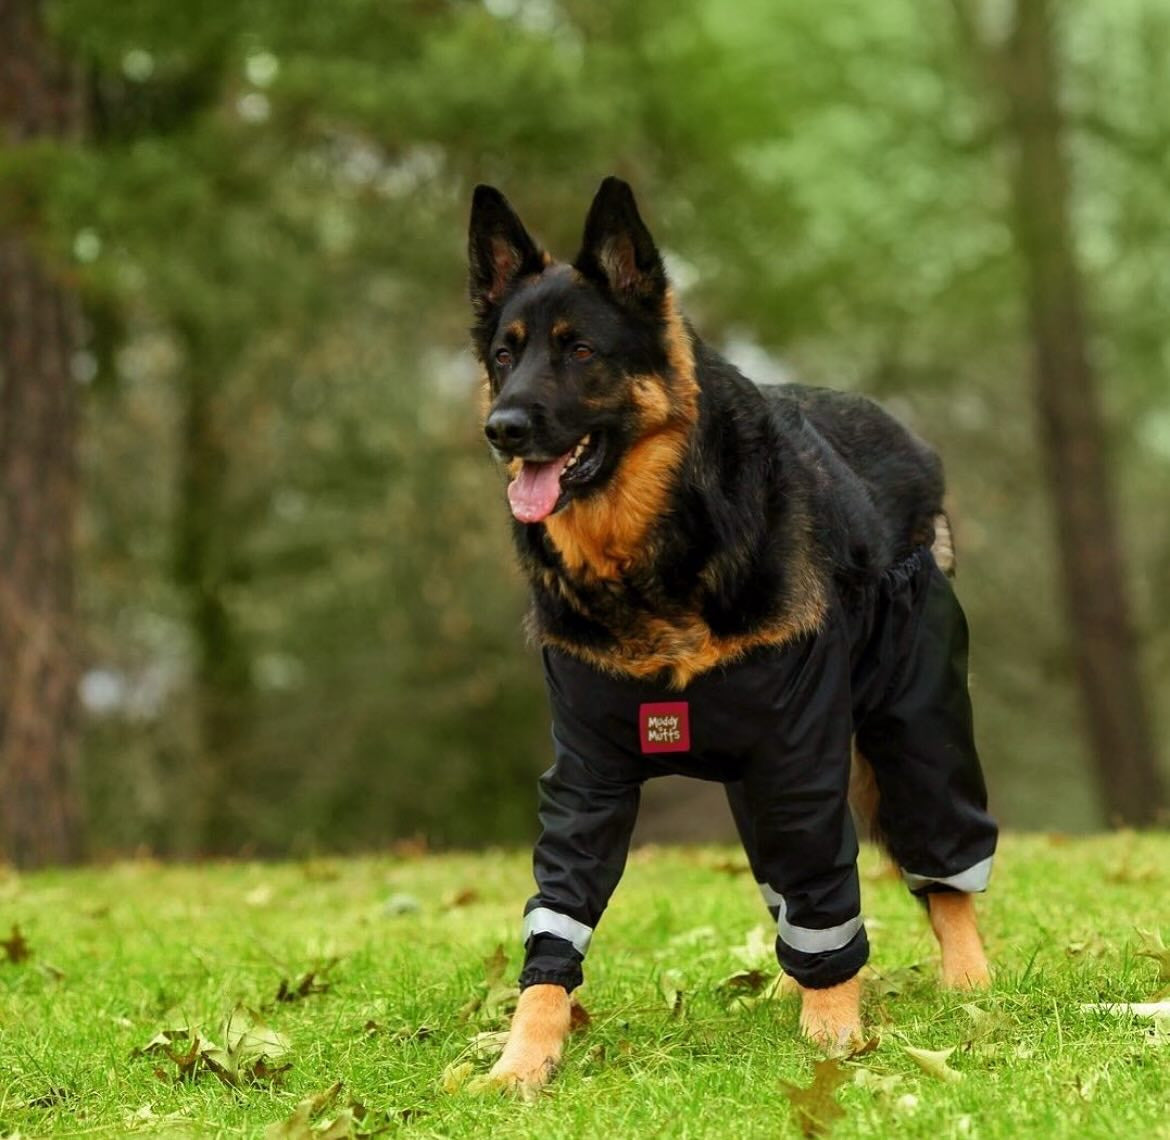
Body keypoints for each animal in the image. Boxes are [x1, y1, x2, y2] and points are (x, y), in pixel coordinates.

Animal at [465, 174, 996, 1095]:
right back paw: (792, 986)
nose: (504, 428)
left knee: (942, 866)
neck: (651, 555)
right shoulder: (587, 779)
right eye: (506, 354)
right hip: (763, 784)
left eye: (579, 351)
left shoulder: (802, 760)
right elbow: (556, 917)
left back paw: (967, 978)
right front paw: (525, 1055)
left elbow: (826, 884)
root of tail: (909, 440)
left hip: (914, 731)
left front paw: (834, 1032)